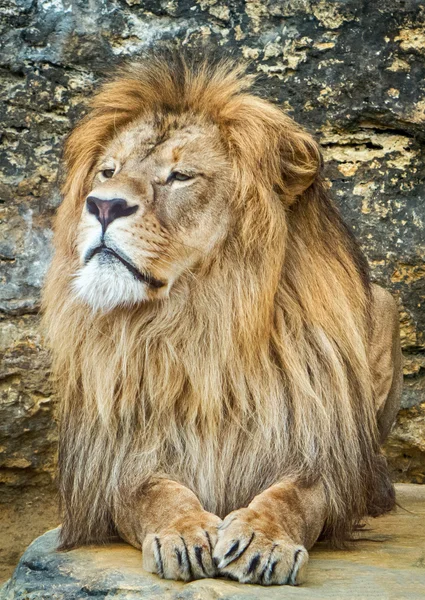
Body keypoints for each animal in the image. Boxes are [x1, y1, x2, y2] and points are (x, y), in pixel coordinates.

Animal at [42, 52, 400, 584]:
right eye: (107, 172)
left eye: (181, 176)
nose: (103, 205)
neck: (198, 320)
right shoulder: (115, 466)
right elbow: (154, 494)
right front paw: (184, 531)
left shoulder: (319, 458)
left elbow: (292, 498)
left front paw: (262, 539)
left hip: (385, 302)